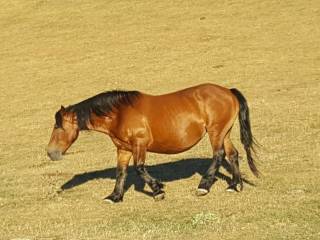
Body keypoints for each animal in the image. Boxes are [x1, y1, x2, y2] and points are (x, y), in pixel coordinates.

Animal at [46, 83, 258, 203]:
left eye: (58, 126)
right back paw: (234, 185)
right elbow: (121, 172)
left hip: (216, 132)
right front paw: (114, 197)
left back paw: (204, 186)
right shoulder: (123, 149)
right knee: (233, 154)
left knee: (219, 155)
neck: (119, 114)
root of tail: (228, 91)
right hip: (224, 132)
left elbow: (139, 168)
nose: (50, 152)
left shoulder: (139, 144)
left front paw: (158, 189)